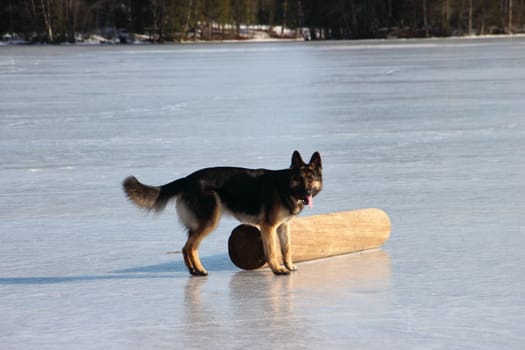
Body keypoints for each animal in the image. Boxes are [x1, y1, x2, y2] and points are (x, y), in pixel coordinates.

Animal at [123, 150, 322, 276]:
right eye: (299, 179)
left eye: (311, 179)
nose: (306, 192)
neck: (285, 186)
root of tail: (187, 179)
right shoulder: (268, 227)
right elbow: (272, 251)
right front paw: (278, 269)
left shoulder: (283, 226)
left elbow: (286, 249)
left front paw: (289, 266)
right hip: (210, 221)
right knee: (189, 247)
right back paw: (200, 270)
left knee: (186, 247)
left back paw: (193, 271)